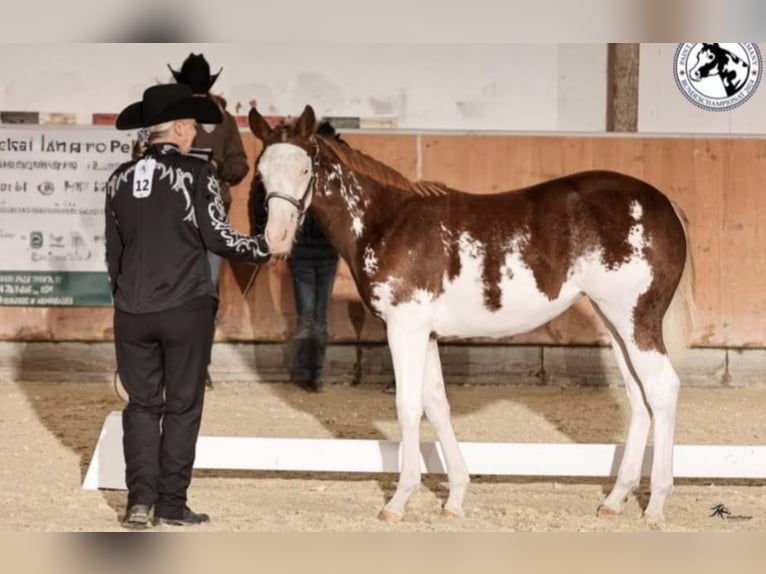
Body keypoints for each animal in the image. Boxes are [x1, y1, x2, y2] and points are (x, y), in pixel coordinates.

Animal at [250, 103, 696, 528]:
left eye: (305, 168)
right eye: (262, 173)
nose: (277, 239)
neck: (386, 222)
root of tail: (664, 204)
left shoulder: (404, 328)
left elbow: (408, 406)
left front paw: (398, 501)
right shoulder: (425, 334)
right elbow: (436, 404)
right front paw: (455, 499)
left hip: (636, 321)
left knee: (662, 390)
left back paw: (656, 504)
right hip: (617, 324)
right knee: (639, 397)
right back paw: (615, 500)